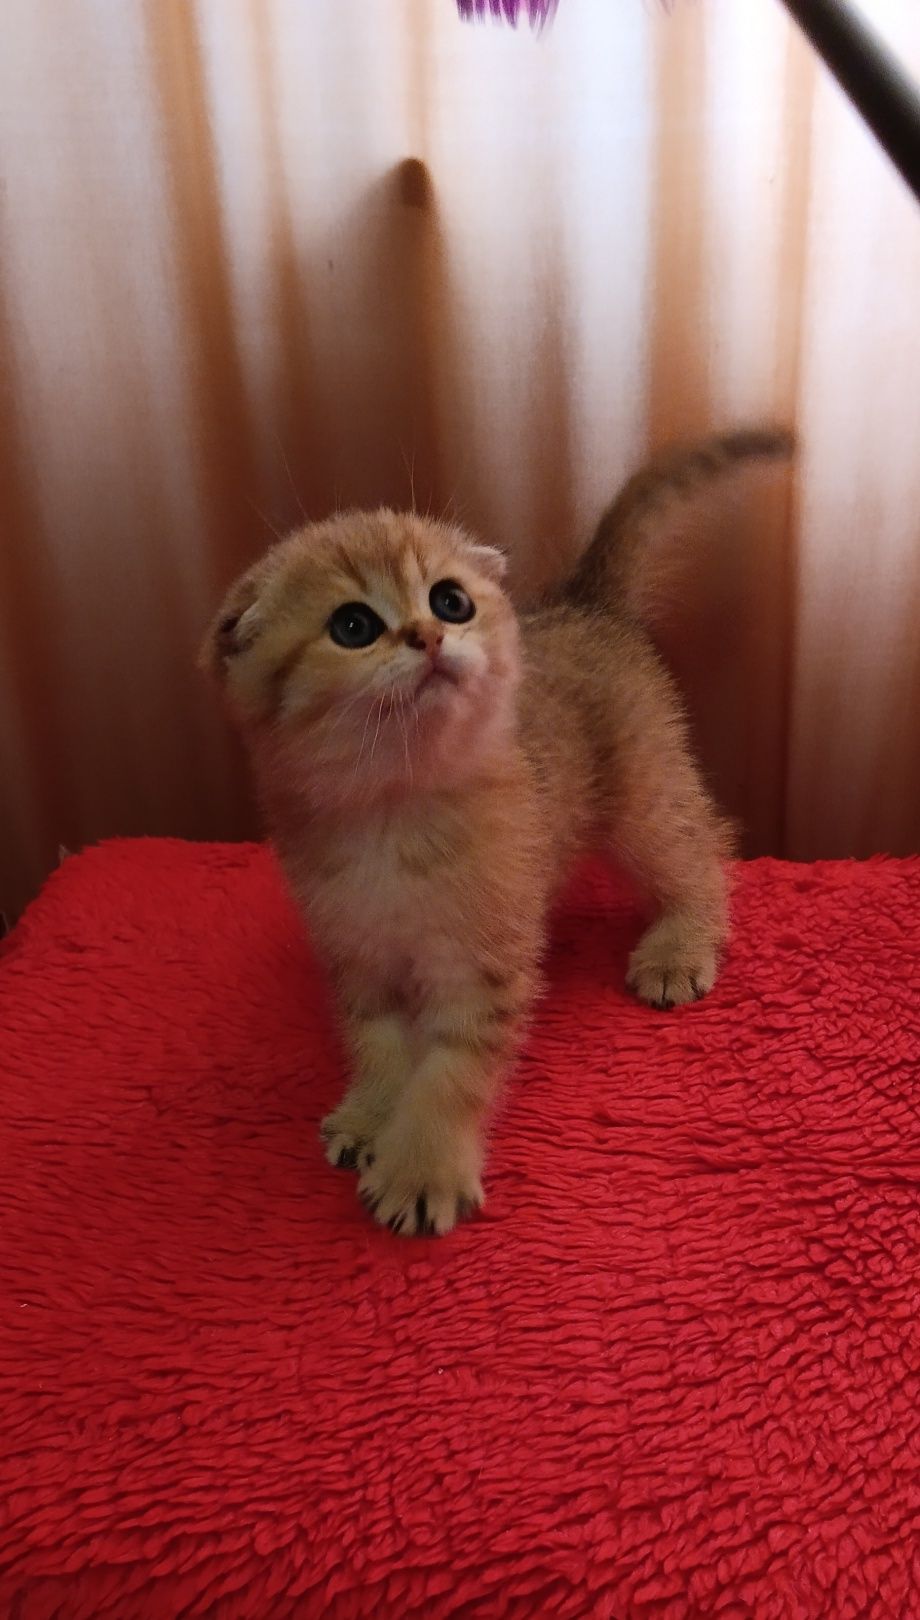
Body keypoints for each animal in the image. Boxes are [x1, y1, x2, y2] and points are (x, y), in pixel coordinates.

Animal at [204, 424, 793, 1231]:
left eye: (450, 601)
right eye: (353, 626)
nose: (427, 635)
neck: (394, 809)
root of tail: (583, 603)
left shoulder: (480, 965)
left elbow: (450, 1073)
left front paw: (422, 1166)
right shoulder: (358, 959)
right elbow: (379, 1046)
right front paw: (371, 1115)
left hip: (642, 798)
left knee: (701, 848)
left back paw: (681, 945)